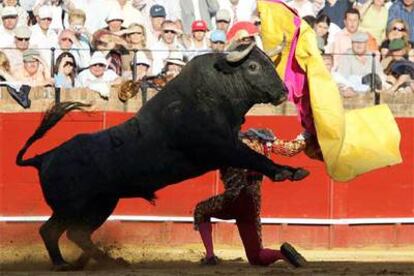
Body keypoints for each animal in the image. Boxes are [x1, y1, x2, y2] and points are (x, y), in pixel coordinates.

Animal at [16, 44, 308, 270]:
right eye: (253, 67)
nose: (284, 91)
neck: (211, 93)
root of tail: (44, 157)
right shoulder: (222, 147)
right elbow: (252, 158)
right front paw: (286, 172)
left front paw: (293, 169)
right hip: (73, 206)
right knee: (52, 231)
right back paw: (64, 263)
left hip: (100, 203)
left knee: (76, 233)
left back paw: (101, 261)